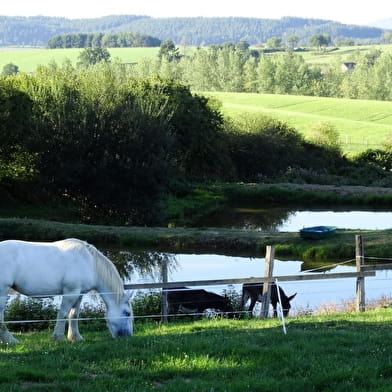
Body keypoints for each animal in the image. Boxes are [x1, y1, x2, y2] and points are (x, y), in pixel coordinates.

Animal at [0, 237, 133, 344]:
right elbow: (63, 314)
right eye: (127, 313)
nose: (127, 336)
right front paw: (58, 338)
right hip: (3, 291)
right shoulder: (71, 292)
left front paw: (75, 337)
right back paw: (11, 341)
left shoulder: (79, 293)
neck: (89, 262)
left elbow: (74, 315)